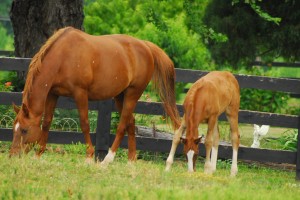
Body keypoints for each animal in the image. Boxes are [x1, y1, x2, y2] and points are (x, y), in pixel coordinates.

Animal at [9, 26, 180, 165]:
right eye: (14, 128)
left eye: (24, 130)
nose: (12, 155)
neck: (64, 56)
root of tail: (146, 46)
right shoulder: (52, 94)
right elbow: (46, 122)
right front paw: (38, 154)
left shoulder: (80, 93)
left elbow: (84, 123)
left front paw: (89, 157)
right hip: (120, 95)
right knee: (130, 122)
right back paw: (131, 160)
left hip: (133, 93)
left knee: (122, 124)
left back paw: (108, 159)